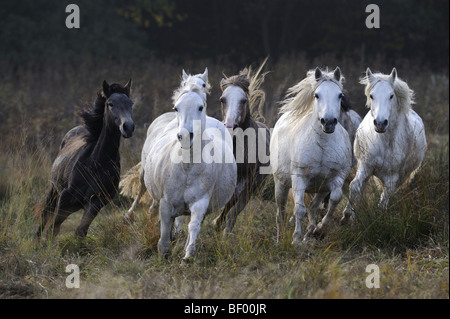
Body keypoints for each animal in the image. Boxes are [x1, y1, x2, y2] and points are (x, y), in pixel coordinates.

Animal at [35, 80, 134, 238]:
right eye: (110, 103)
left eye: (131, 103)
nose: (128, 127)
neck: (96, 163)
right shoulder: (65, 197)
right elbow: (53, 227)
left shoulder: (97, 202)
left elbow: (81, 230)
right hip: (54, 190)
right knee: (46, 214)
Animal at [144, 82, 237, 260]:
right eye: (176, 108)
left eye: (200, 107)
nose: (185, 136)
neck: (186, 168)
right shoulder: (166, 204)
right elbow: (164, 234)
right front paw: (163, 255)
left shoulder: (201, 202)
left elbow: (193, 227)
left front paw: (188, 256)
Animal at [268, 67, 354, 245]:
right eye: (317, 95)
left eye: (340, 95)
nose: (328, 122)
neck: (322, 146)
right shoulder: (299, 178)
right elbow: (299, 209)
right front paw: (296, 240)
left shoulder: (335, 179)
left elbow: (334, 200)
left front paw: (319, 228)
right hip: (281, 184)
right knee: (280, 212)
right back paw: (280, 239)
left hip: (321, 188)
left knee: (313, 206)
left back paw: (310, 232)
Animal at [342, 67, 428, 222]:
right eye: (371, 96)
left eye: (391, 96)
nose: (380, 123)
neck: (385, 142)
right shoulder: (365, 166)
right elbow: (355, 186)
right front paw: (347, 216)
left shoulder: (392, 177)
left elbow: (383, 203)